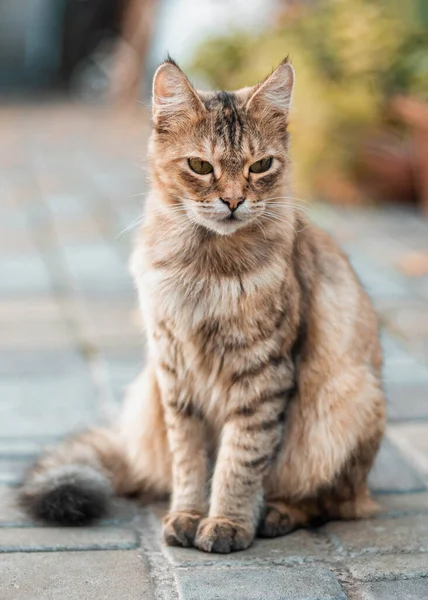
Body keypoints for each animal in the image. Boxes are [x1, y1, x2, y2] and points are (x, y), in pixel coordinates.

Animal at [21, 58, 386, 556]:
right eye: (200, 166)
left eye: (260, 165)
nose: (233, 201)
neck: (204, 267)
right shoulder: (175, 375)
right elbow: (190, 461)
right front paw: (189, 516)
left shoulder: (262, 375)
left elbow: (240, 460)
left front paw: (227, 522)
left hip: (349, 402)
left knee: (335, 502)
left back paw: (277, 514)